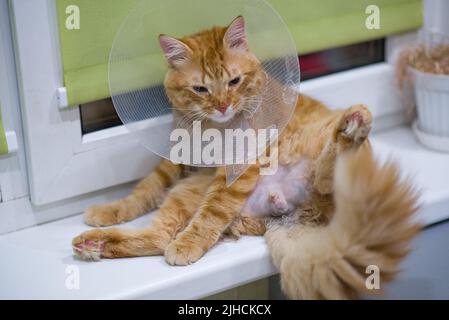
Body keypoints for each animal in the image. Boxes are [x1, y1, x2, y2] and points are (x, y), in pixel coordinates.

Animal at [72, 16, 372, 264]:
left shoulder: (239, 165)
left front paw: (189, 245)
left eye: (234, 81)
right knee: (159, 236)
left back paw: (352, 127)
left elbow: (211, 213)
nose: (222, 106)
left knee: (326, 176)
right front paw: (112, 209)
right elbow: (146, 189)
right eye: (200, 89)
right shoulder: (178, 158)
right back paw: (93, 245)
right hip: (186, 192)